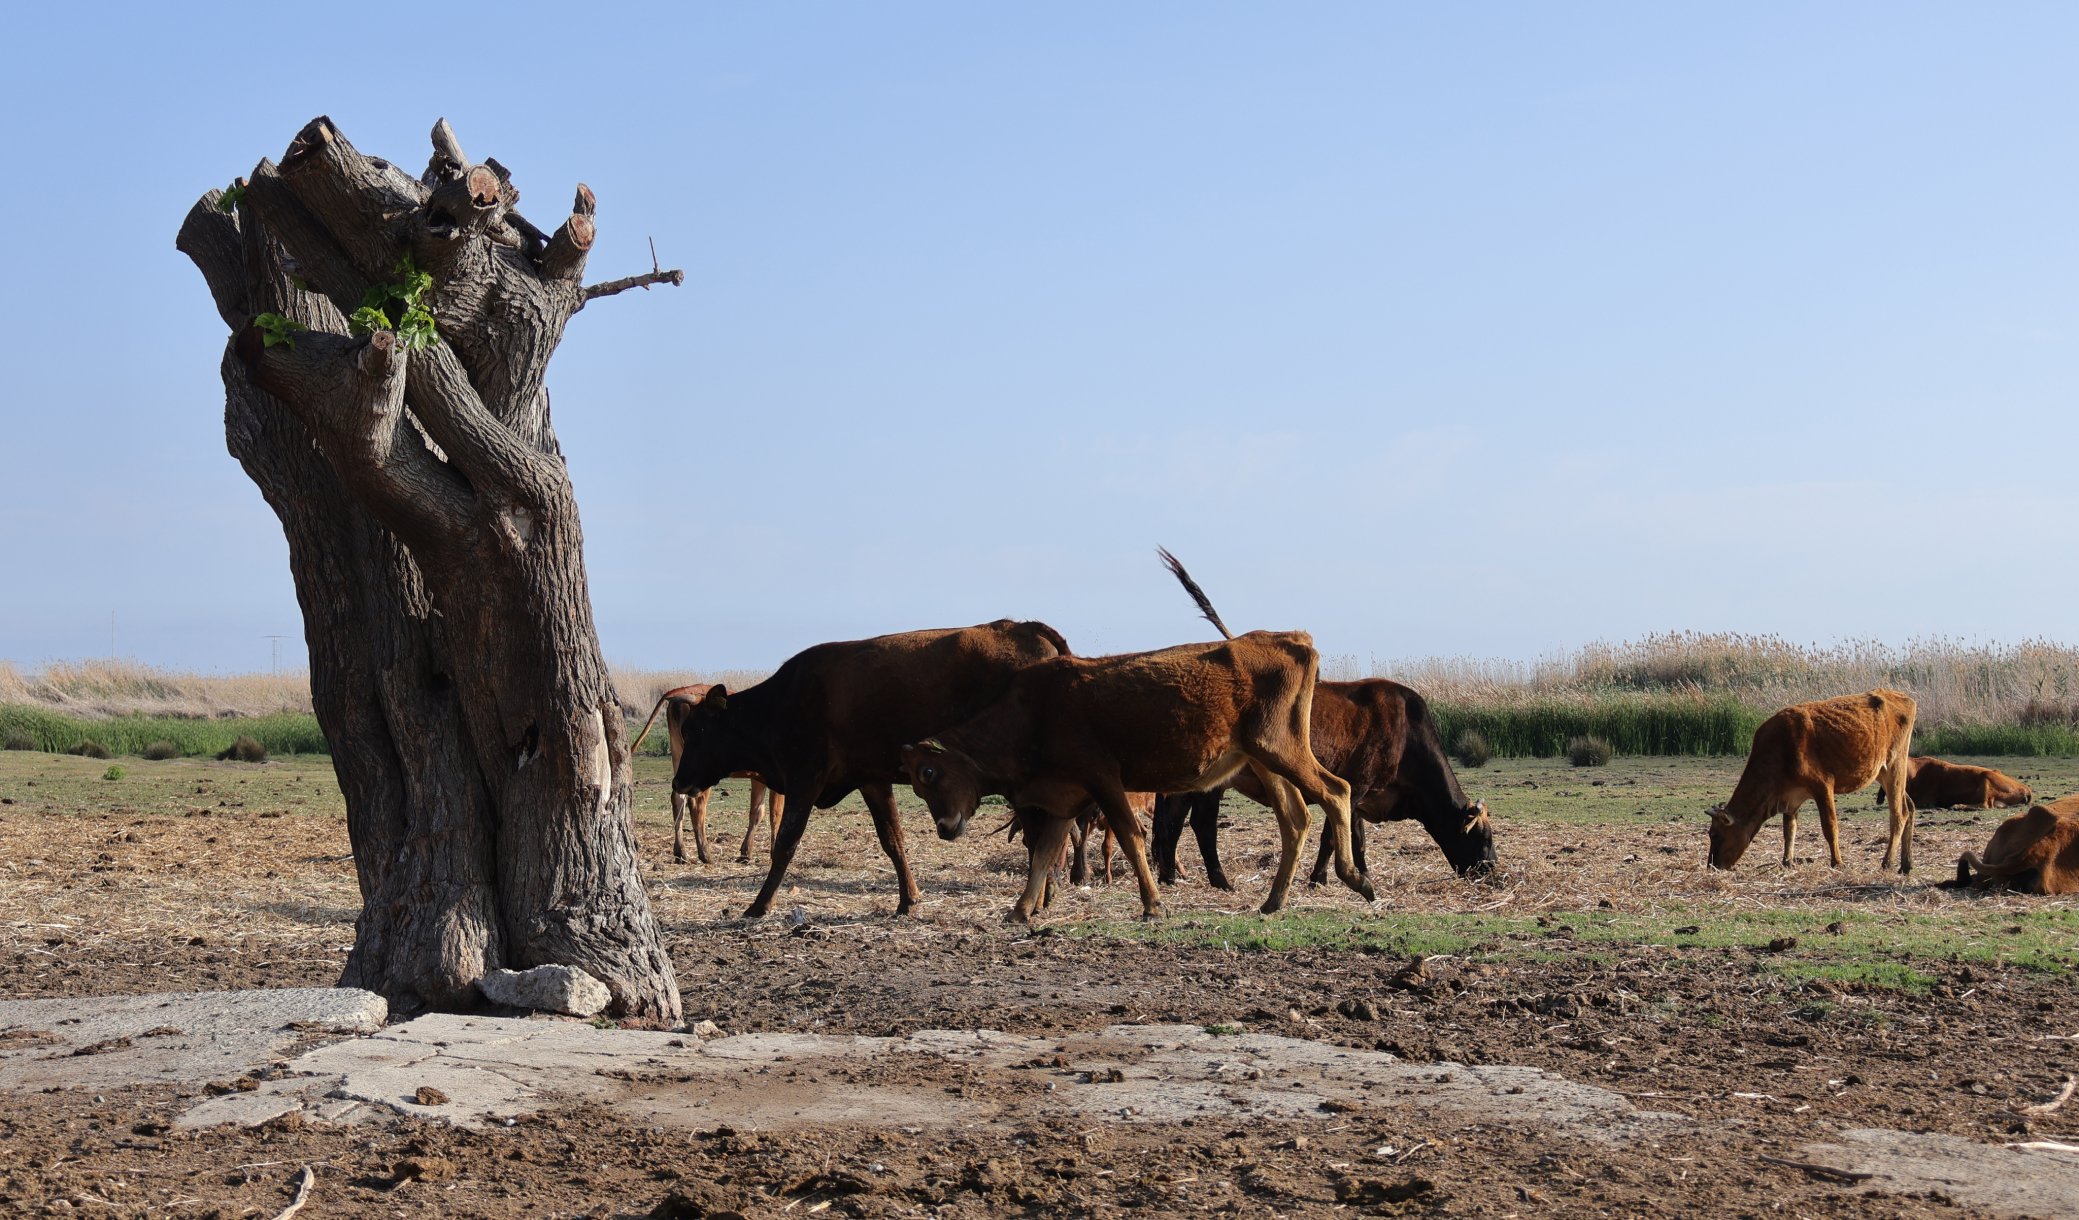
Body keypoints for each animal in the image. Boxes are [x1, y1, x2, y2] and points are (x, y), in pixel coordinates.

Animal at [632, 686, 785, 865]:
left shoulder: (759, 777)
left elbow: (757, 811)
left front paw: (746, 853)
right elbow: (775, 813)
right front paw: (774, 852)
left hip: (680, 758)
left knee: (677, 799)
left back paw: (681, 852)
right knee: (696, 804)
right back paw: (705, 853)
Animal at [668, 620, 1072, 918]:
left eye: (696, 732)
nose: (679, 780)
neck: (781, 703)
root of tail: (1024, 628)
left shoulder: (804, 777)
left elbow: (785, 843)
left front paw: (759, 905)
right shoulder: (872, 779)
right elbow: (893, 839)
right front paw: (908, 900)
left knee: (1041, 836)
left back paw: (1038, 899)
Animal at [899, 630, 1375, 923]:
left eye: (929, 771)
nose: (944, 828)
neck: (1033, 712)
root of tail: (1286, 638)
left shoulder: (1103, 779)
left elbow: (1130, 837)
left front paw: (1152, 905)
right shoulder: (1065, 799)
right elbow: (1044, 855)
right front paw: (1020, 910)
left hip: (1280, 750)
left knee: (1336, 791)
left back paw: (1355, 877)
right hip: (1263, 759)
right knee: (1296, 818)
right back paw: (1274, 901)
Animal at [1152, 678, 1496, 888]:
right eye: (1485, 838)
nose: (1495, 872)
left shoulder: (1362, 795)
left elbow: (1357, 838)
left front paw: (1362, 872)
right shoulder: (1353, 786)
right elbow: (1332, 837)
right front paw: (1318, 878)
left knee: (1172, 823)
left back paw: (1169, 877)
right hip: (1210, 785)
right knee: (1202, 825)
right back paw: (1220, 881)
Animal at [1707, 689, 1917, 873]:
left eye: (1714, 835)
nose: (1711, 866)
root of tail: (1898, 695)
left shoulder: (1822, 785)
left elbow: (1830, 827)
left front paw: (1838, 863)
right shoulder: (1790, 798)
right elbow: (1789, 831)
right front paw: (1787, 862)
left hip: (1894, 765)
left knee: (1899, 814)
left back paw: (1888, 862)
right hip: (1881, 772)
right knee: (1909, 806)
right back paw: (1906, 864)